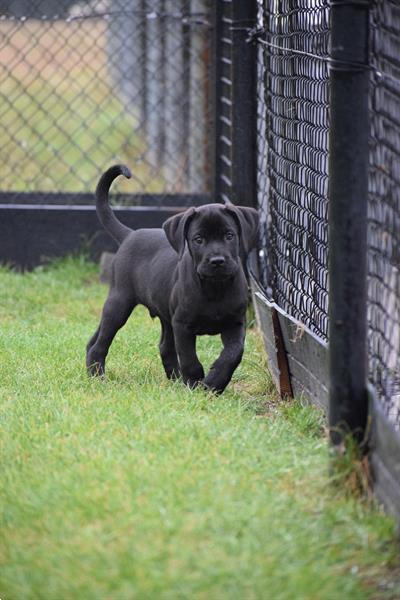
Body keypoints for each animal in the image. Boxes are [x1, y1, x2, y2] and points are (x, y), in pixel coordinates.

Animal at [86, 164, 258, 394]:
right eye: (198, 239)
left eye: (229, 235)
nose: (217, 261)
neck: (214, 288)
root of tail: (130, 234)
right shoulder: (182, 325)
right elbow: (190, 360)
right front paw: (195, 385)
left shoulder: (236, 323)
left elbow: (233, 354)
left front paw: (214, 383)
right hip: (119, 303)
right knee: (101, 343)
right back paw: (97, 376)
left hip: (162, 315)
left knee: (160, 346)